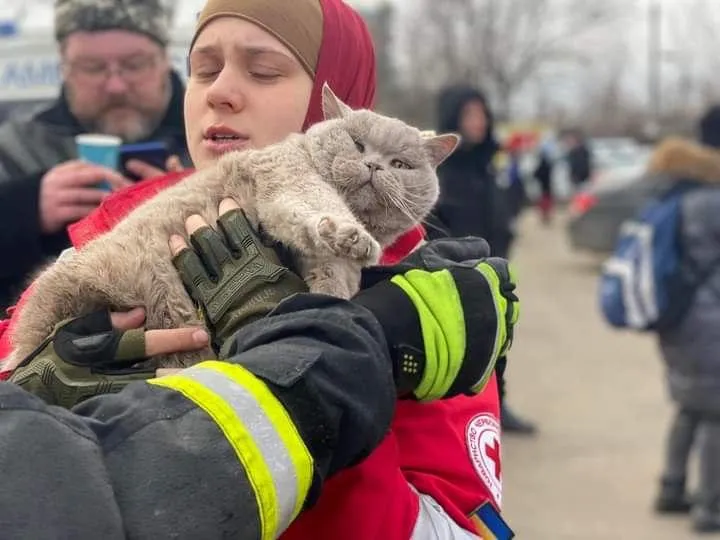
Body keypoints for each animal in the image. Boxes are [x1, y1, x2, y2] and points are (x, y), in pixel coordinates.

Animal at [8, 84, 458, 370]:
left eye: (400, 165)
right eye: (357, 144)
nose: (374, 166)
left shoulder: (314, 251)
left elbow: (332, 269)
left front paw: (335, 293)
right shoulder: (288, 177)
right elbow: (317, 205)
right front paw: (352, 237)